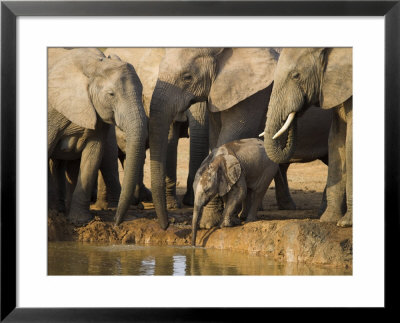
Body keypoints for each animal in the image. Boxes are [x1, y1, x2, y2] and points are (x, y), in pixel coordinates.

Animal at [48, 48, 148, 228]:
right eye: (111, 94)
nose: (116, 223)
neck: (93, 65)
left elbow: (93, 157)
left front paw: (80, 222)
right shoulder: (51, 111)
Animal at [150, 48, 332, 230]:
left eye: (187, 77)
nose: (167, 225)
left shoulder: (253, 94)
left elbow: (231, 136)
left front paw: (209, 224)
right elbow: (215, 139)